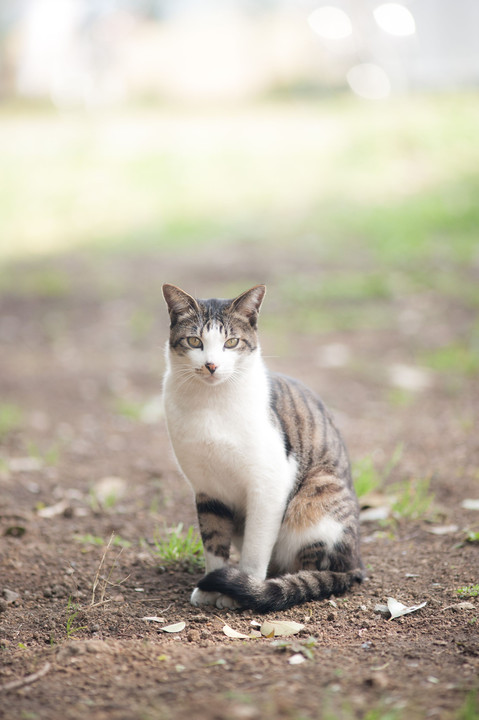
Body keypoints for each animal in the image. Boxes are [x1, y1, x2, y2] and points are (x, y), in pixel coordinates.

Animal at [161, 284, 364, 612]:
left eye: (231, 342)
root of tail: (357, 564)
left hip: (316, 502)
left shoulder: (269, 485)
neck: (211, 403)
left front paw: (242, 589)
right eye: (194, 341)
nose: (211, 365)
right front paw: (211, 585)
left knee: (315, 570)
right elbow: (213, 541)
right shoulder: (207, 490)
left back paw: (275, 585)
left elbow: (256, 549)